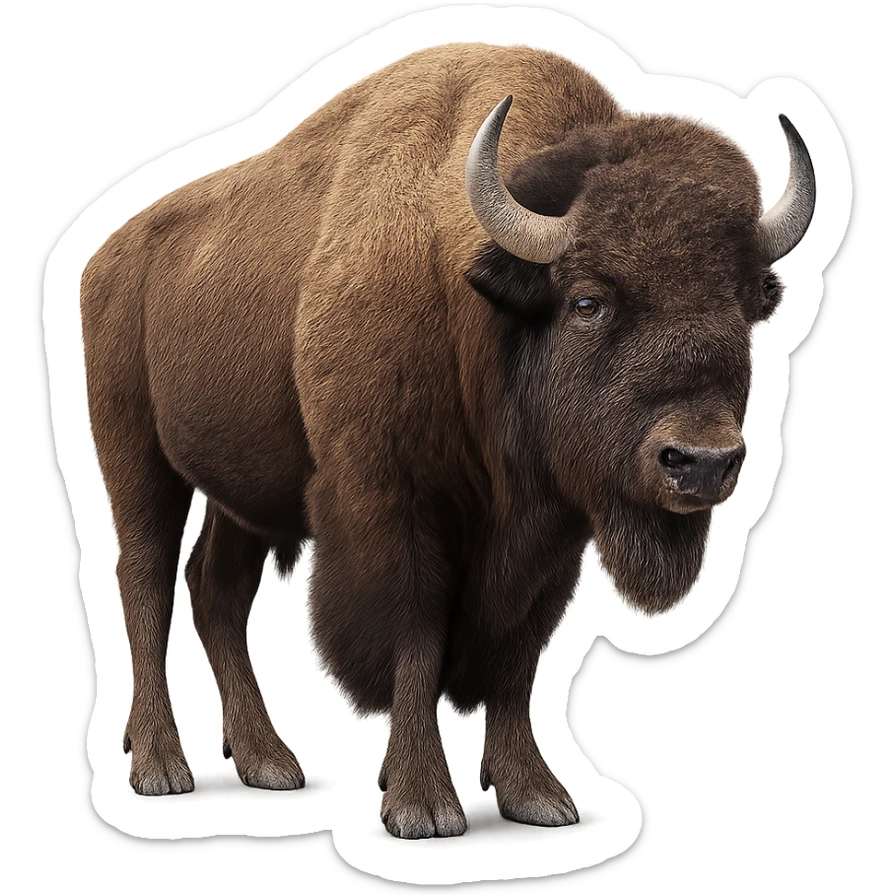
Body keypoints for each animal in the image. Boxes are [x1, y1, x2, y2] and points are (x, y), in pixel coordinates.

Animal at [80, 43, 815, 839]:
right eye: (587, 300)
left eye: (744, 305)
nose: (702, 462)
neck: (474, 299)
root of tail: (105, 255)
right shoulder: (396, 505)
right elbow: (417, 634)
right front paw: (421, 804)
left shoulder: (551, 533)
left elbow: (519, 654)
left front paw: (536, 795)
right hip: (133, 455)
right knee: (145, 578)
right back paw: (160, 766)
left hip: (241, 490)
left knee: (217, 589)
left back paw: (268, 761)